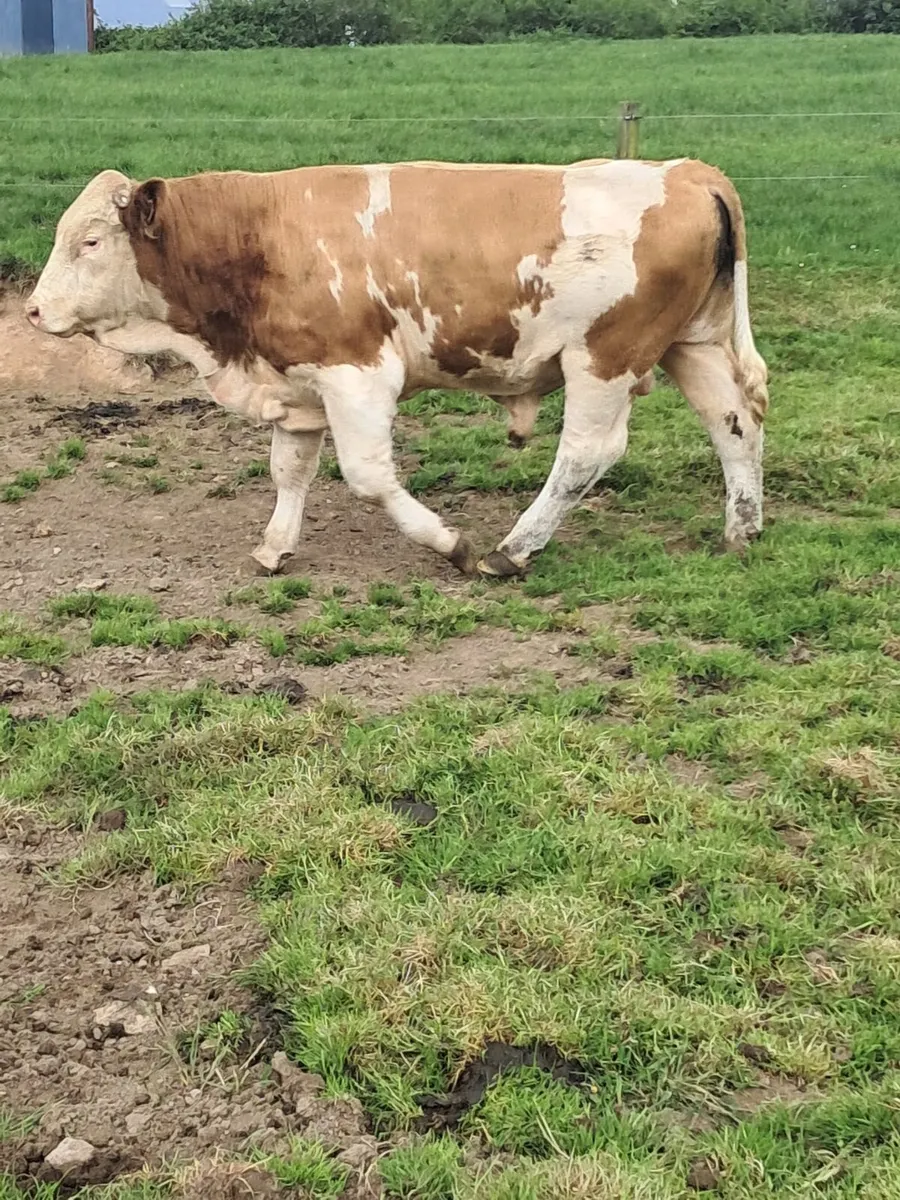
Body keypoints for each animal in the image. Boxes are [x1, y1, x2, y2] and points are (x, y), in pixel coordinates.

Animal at [26, 157, 769, 579]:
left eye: (89, 241)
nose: (32, 311)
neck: (259, 234)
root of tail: (686, 171)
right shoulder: (297, 379)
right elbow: (288, 469)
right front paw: (275, 546)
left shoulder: (355, 374)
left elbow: (368, 476)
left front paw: (449, 544)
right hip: (691, 343)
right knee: (735, 422)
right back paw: (742, 529)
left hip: (605, 355)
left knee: (588, 452)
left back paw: (511, 549)